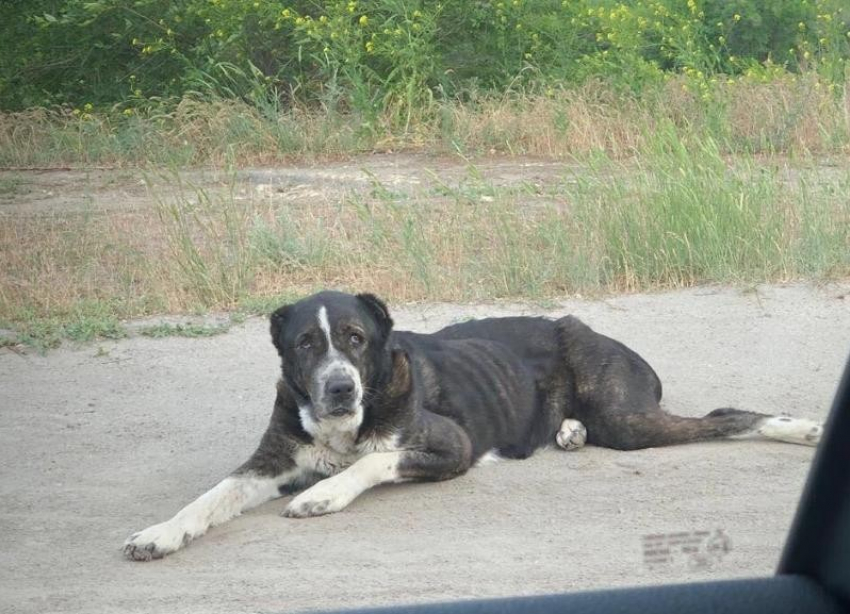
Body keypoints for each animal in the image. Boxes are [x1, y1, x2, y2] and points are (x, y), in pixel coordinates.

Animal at [121, 292, 820, 560]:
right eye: (304, 345)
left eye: (354, 338)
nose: (340, 389)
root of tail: (599, 331)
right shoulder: (268, 461)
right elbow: (211, 496)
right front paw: (159, 532)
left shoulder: (449, 446)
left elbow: (373, 458)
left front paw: (324, 494)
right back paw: (566, 432)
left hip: (628, 418)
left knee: (724, 418)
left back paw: (803, 429)